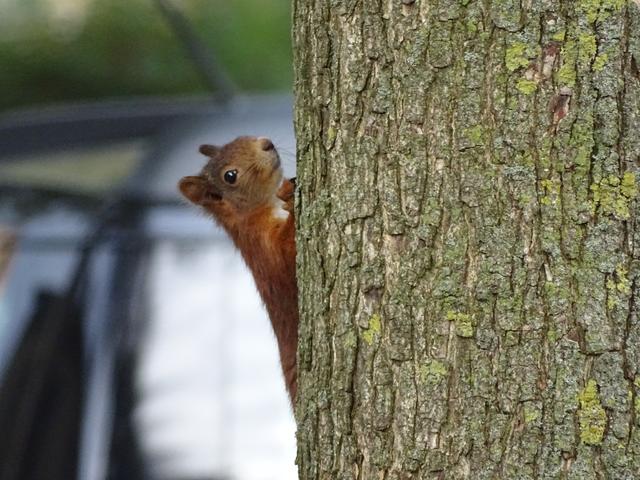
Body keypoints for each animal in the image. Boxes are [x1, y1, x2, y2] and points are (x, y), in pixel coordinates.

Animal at [179, 137, 298, 404]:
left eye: (239, 138)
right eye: (230, 176)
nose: (267, 143)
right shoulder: (265, 250)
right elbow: (287, 260)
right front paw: (291, 196)